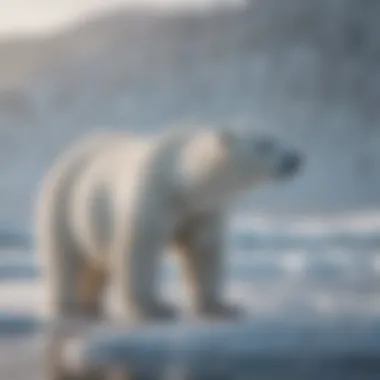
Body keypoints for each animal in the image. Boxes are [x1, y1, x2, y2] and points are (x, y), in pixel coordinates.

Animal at [35, 124, 302, 324]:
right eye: (265, 144)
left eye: (278, 138)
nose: (295, 158)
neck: (181, 182)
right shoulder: (154, 198)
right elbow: (140, 250)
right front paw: (156, 309)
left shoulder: (203, 211)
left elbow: (204, 252)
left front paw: (222, 307)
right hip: (63, 206)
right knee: (66, 261)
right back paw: (69, 308)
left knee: (95, 266)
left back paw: (91, 307)